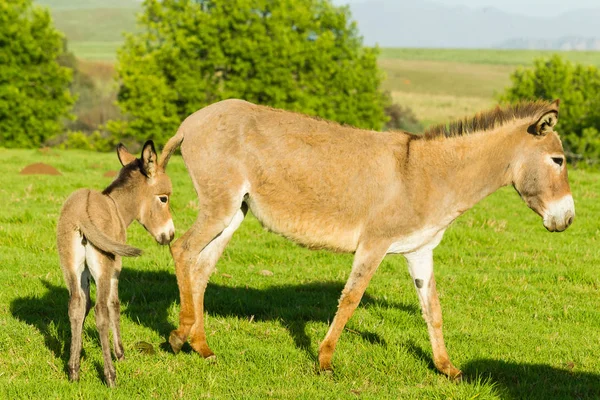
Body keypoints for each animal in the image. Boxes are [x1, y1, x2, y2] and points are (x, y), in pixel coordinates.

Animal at [57, 141, 175, 388]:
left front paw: (77, 354)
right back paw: (110, 375)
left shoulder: (85, 274)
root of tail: (83, 213)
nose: (170, 235)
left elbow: (83, 307)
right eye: (164, 198)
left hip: (69, 265)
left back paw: (73, 373)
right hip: (104, 267)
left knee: (74, 305)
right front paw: (119, 353)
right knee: (102, 311)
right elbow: (114, 305)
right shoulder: (115, 270)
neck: (116, 207)